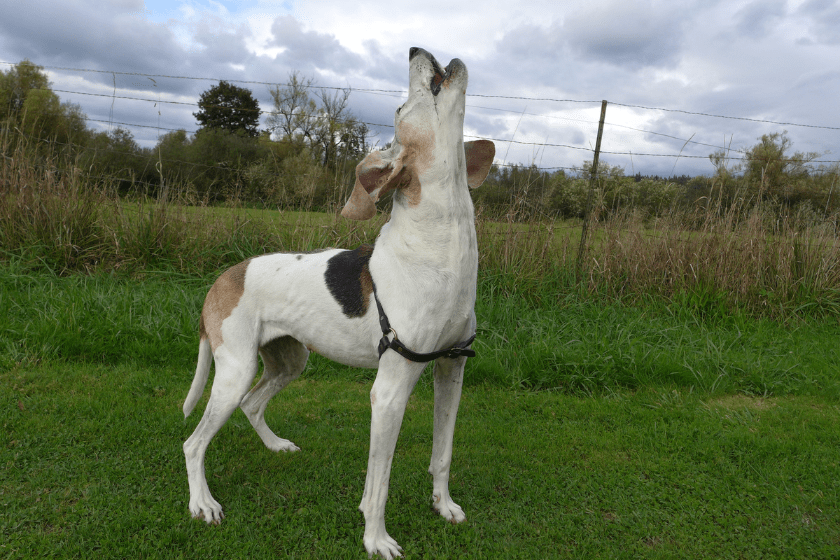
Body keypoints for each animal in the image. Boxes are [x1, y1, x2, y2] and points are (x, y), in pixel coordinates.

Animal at [178, 49, 492, 560]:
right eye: (401, 109)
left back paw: (276, 446)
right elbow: (379, 483)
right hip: (234, 370)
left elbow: (442, 454)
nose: (416, 51)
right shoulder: (389, 392)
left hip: (289, 361)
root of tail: (224, 278)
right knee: (194, 442)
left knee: (251, 405)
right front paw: (376, 538)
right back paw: (202, 503)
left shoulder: (451, 371)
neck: (442, 247)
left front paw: (443, 505)